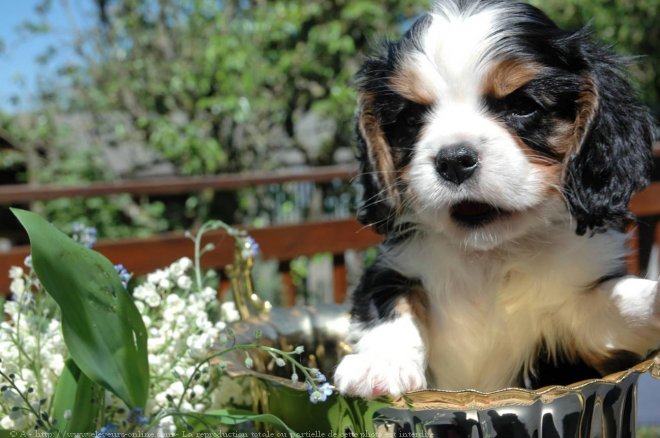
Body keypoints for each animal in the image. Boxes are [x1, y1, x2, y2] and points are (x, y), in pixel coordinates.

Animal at [336, 0, 660, 398]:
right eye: (411, 119)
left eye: (521, 105)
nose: (453, 160)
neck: (491, 254)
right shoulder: (392, 265)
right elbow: (389, 301)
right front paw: (379, 364)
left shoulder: (580, 323)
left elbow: (619, 306)